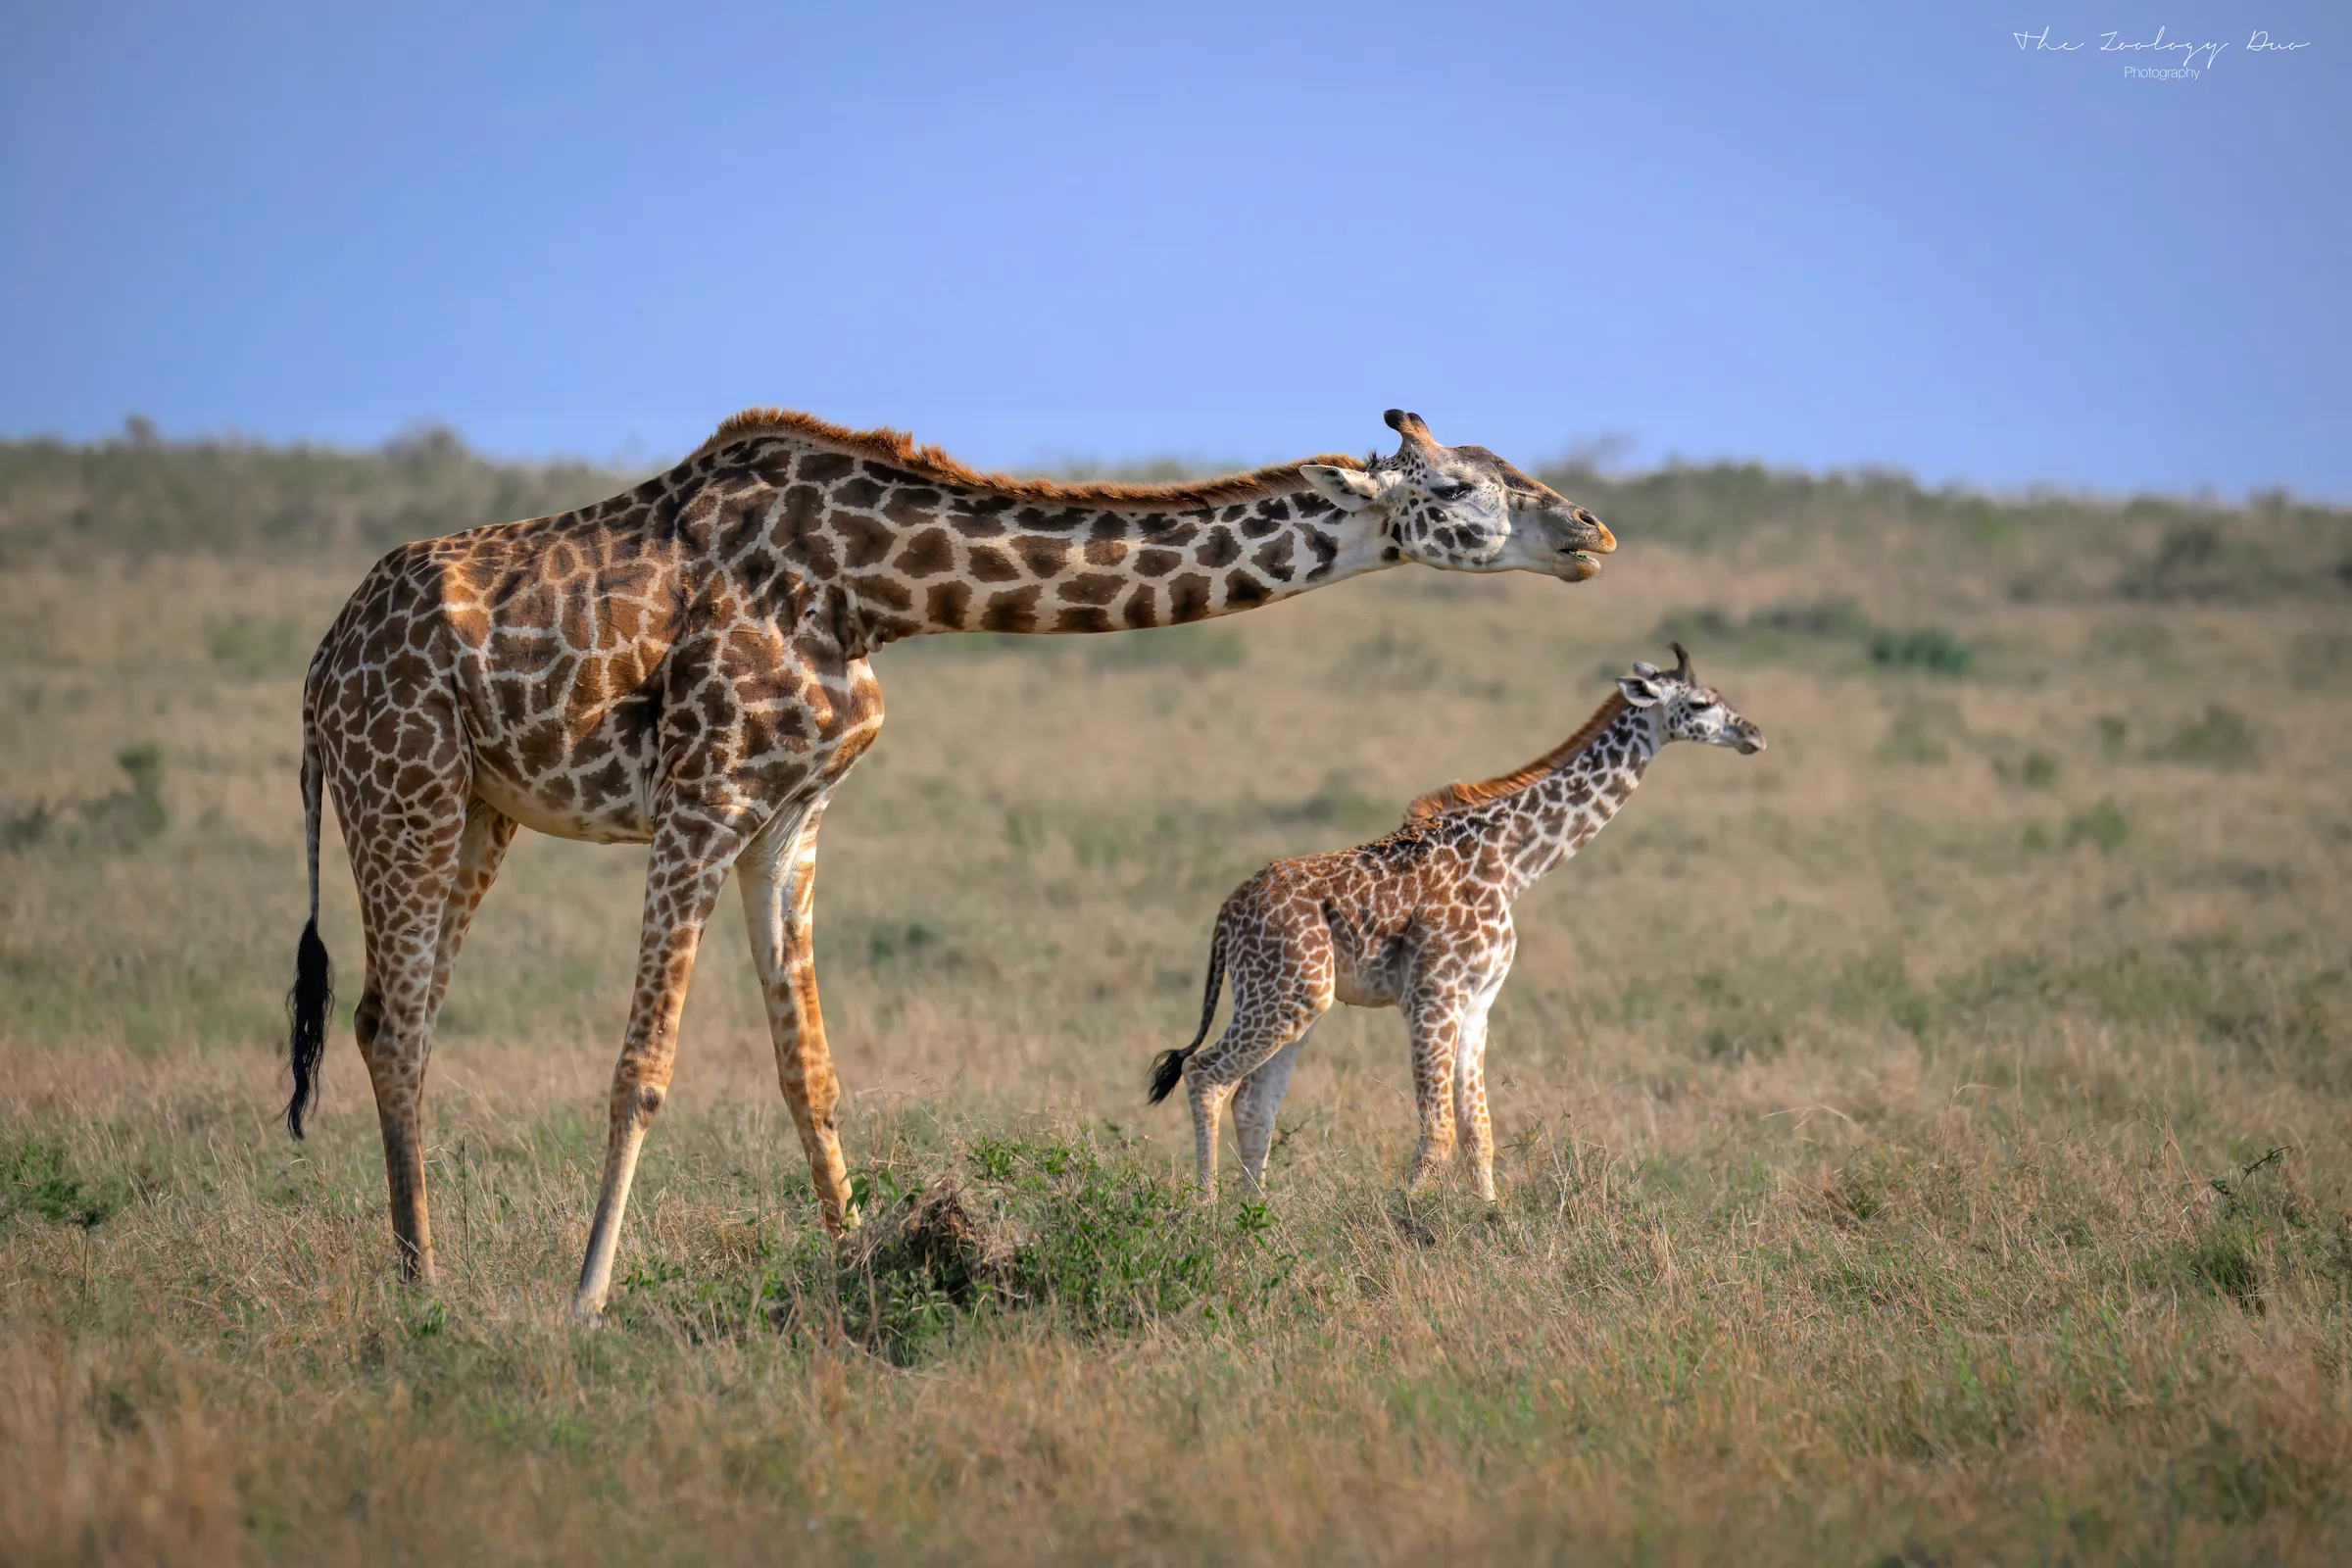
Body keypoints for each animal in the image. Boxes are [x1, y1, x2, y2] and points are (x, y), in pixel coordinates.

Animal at [282, 406, 1616, 1316]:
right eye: (1460, 483)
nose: (1592, 533)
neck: (869, 588)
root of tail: (319, 665)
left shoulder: (791, 817)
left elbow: (809, 1073)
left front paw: (859, 1268)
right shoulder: (701, 801)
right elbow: (644, 1067)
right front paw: (586, 1301)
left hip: (478, 811)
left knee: (390, 1014)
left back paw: (420, 1267)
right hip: (402, 788)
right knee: (396, 1021)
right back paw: (423, 1288)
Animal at [1147, 644, 1764, 1201]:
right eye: (1702, 703)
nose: (1754, 735)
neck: (1511, 863)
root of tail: (1227, 914)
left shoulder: (1477, 1003)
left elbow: (1478, 1131)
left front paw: (1492, 1220)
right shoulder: (1432, 995)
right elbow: (1439, 1131)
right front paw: (1404, 1223)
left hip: (1297, 1003)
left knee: (1253, 1099)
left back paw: (1257, 1222)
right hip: (1284, 995)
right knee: (1206, 1074)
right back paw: (1206, 1211)